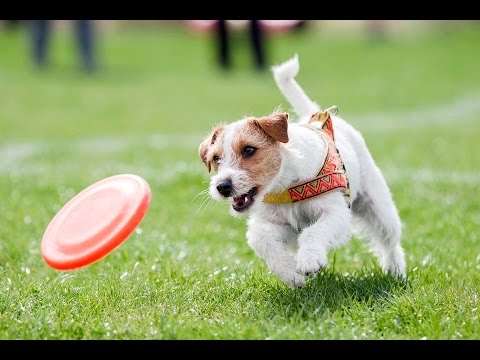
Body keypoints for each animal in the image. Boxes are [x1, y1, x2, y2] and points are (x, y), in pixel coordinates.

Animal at [199, 54, 404, 286]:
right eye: (216, 158)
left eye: (249, 149)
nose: (222, 186)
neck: (286, 185)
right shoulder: (278, 224)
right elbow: (261, 239)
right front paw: (291, 273)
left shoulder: (336, 213)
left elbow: (313, 232)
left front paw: (310, 260)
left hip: (379, 208)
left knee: (390, 241)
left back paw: (396, 271)